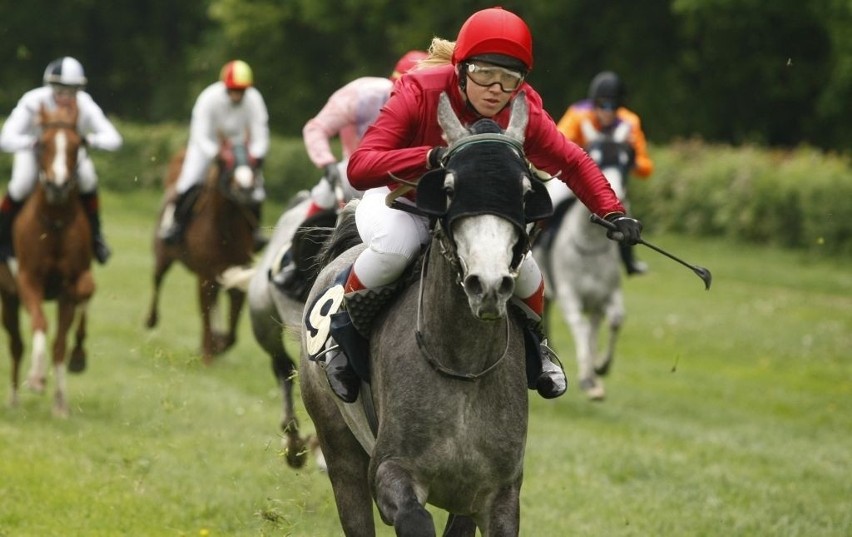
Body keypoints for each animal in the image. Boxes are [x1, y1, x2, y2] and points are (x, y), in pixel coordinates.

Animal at [0, 102, 93, 416]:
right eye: (42, 144)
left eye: (78, 145)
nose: (58, 185)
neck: (55, 223)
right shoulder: (28, 281)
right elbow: (40, 323)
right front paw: (37, 378)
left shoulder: (68, 289)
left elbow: (61, 345)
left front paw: (61, 404)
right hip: (8, 297)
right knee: (16, 344)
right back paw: (13, 399)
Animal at [146, 140, 260, 362]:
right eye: (224, 160)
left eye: (252, 159)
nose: (246, 188)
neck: (225, 230)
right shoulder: (205, 277)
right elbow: (206, 315)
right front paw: (208, 352)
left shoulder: (237, 275)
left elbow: (231, 332)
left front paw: (217, 344)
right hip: (163, 256)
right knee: (157, 279)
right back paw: (151, 319)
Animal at [300, 94, 552, 532]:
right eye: (449, 188)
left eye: (524, 193)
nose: (488, 283)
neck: (463, 367)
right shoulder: (391, 472)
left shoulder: (493, 495)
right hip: (340, 451)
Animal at [532, 124, 632, 398]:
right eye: (596, 156)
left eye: (625, 161)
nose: (619, 195)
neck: (590, 246)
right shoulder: (569, 295)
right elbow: (581, 327)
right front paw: (588, 379)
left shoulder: (606, 294)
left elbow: (615, 320)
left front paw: (599, 369)